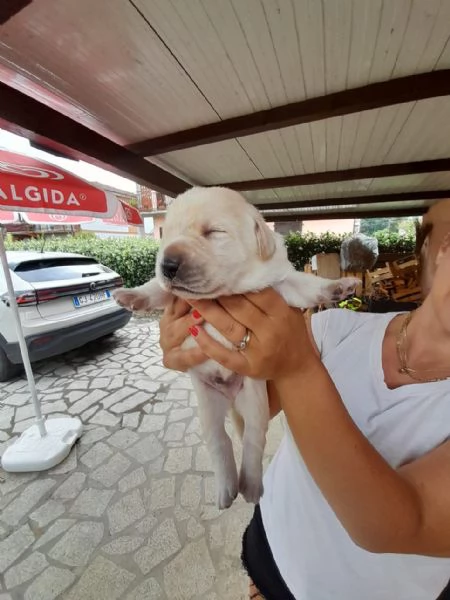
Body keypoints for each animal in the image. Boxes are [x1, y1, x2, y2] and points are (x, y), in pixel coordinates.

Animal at [113, 185, 358, 508]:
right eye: (168, 235)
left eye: (214, 232)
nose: (167, 264)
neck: (226, 291)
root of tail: (229, 396)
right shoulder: (174, 296)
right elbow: (156, 288)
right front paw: (132, 295)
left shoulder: (281, 282)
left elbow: (305, 285)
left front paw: (337, 287)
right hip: (207, 405)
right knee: (220, 441)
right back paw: (226, 489)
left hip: (254, 401)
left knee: (253, 440)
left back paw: (250, 486)